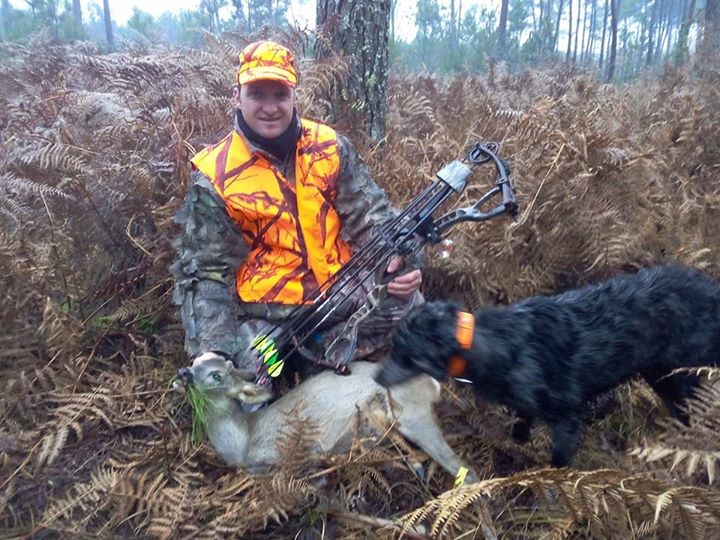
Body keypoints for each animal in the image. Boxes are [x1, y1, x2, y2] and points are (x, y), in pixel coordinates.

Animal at [174, 352, 478, 484]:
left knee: (466, 472)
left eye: (216, 374)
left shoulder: (278, 458)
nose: (183, 372)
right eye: (195, 362)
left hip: (414, 414)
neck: (241, 443)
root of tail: (430, 381)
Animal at [374, 264, 720, 466]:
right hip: (660, 375)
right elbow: (521, 423)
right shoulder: (523, 404)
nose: (377, 376)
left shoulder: (566, 416)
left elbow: (559, 461)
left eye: (405, 354)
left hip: (684, 376)